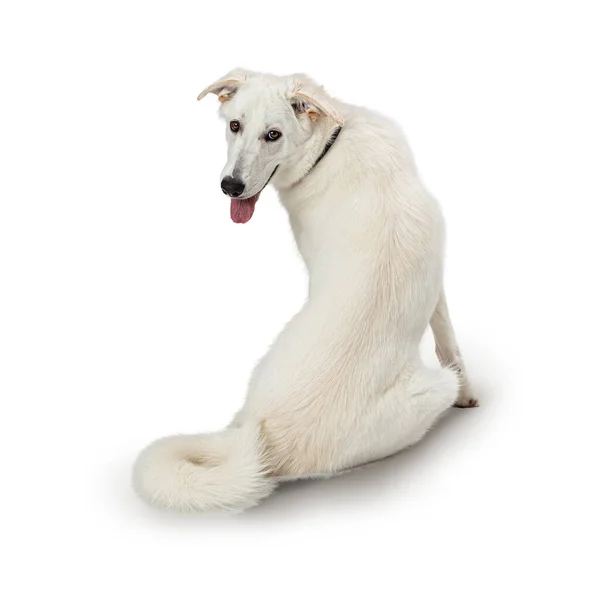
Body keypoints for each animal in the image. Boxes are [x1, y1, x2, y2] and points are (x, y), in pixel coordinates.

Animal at [132, 69, 478, 510]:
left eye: (273, 135)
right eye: (235, 125)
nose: (230, 186)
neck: (329, 145)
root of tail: (269, 441)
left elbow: (449, 344)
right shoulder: (436, 278)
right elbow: (449, 341)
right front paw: (470, 392)